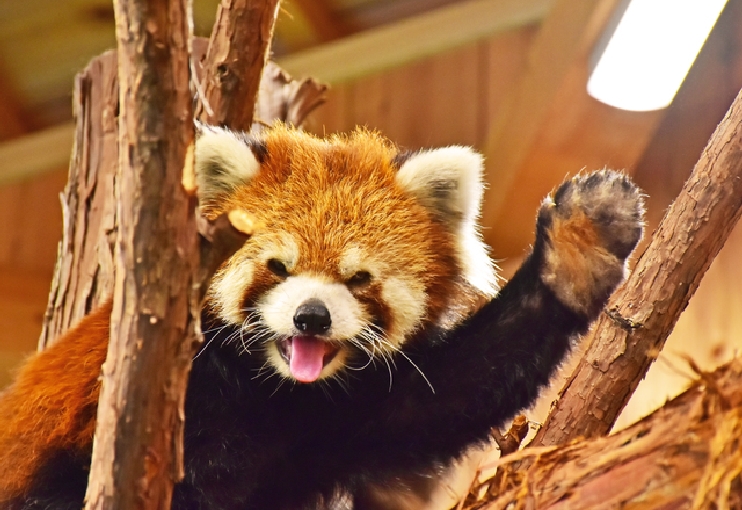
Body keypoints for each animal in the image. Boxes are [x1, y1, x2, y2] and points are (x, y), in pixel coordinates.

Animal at [0, 124, 644, 510]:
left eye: (358, 279)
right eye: (278, 268)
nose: (311, 318)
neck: (277, 392)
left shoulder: (350, 416)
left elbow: (449, 397)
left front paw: (577, 250)